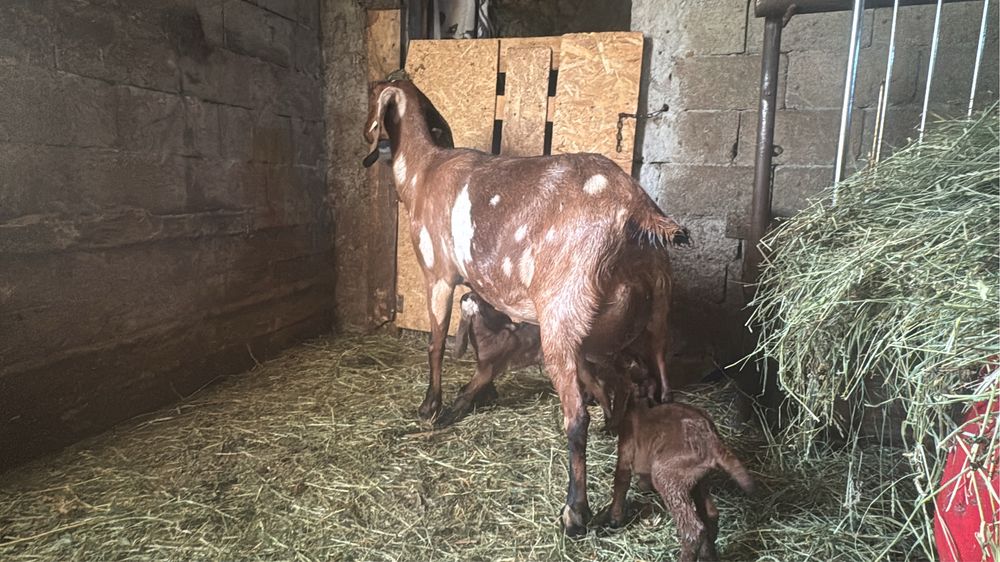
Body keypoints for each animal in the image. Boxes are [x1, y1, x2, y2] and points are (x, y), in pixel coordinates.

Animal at [362, 79, 689, 535]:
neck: (423, 173)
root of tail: (638, 212)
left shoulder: (438, 276)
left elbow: (435, 344)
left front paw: (431, 406)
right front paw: (481, 393)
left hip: (563, 320)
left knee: (576, 416)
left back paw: (575, 512)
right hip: (650, 319)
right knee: (653, 388)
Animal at [606, 400, 755, 561]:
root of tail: (709, 438)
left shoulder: (626, 448)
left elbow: (621, 481)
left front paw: (615, 518)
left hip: (667, 478)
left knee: (693, 529)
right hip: (698, 479)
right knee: (710, 514)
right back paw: (708, 555)